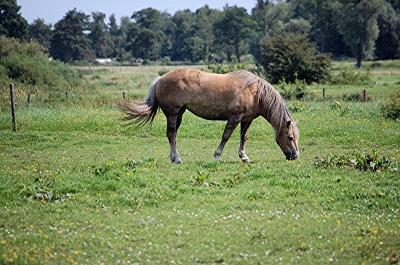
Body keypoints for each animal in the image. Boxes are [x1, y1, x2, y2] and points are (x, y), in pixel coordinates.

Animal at [114, 67, 298, 163]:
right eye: (289, 137)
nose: (295, 156)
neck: (255, 92)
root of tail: (160, 78)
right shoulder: (234, 117)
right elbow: (226, 136)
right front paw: (217, 156)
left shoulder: (246, 120)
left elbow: (243, 138)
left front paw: (244, 157)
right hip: (173, 113)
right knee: (171, 134)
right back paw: (177, 158)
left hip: (179, 113)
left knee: (172, 135)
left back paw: (173, 157)